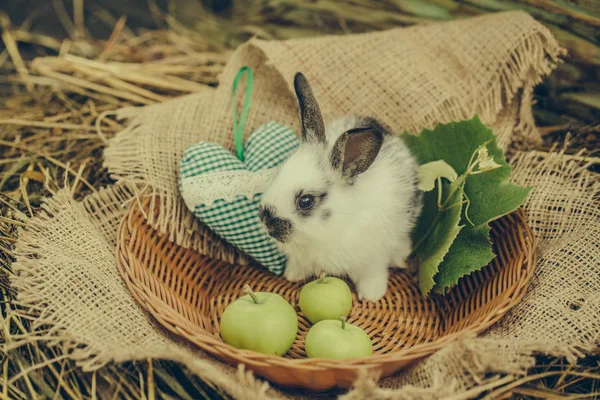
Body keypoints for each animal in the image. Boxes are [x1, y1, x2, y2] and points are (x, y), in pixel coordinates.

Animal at [258, 73, 422, 302]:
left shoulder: (373, 260)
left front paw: (371, 295)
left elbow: (373, 275)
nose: (265, 220)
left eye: (305, 201)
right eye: (278, 173)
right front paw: (292, 275)